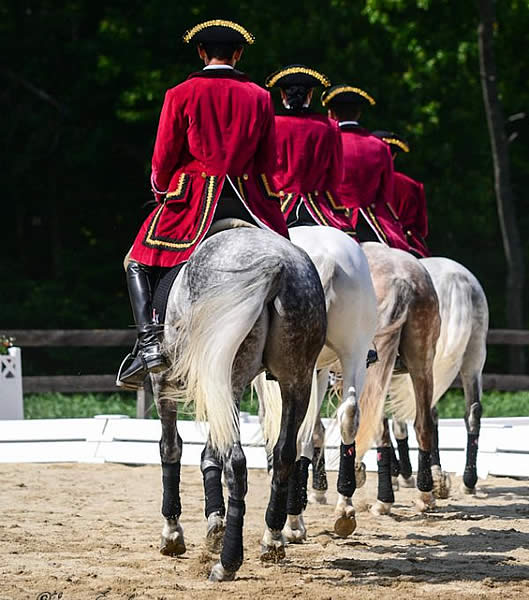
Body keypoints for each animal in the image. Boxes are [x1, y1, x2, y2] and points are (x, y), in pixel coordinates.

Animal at [255, 224, 376, 540]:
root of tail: (325, 256)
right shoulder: (318, 372)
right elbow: (313, 433)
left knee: (295, 436)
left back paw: (292, 521)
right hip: (354, 352)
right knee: (349, 415)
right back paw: (344, 509)